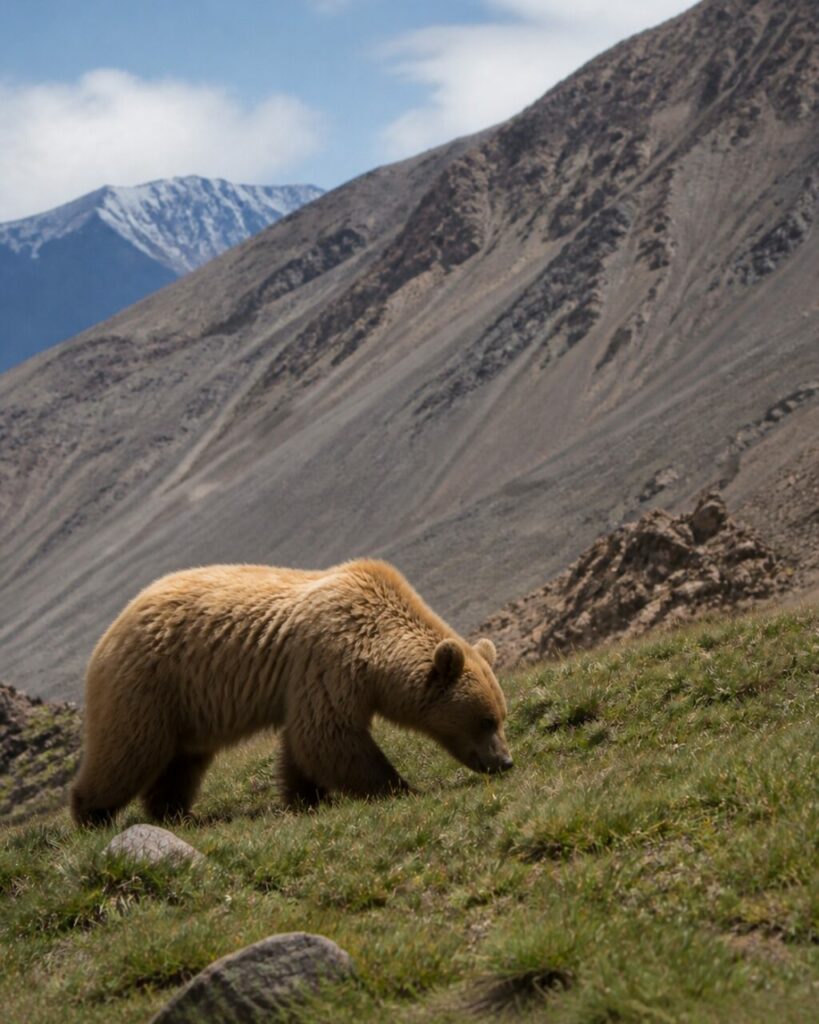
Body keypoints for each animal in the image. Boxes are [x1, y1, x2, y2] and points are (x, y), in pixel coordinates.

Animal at [70, 559, 512, 824]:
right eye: (485, 720)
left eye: (500, 716)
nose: (505, 761)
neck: (376, 651)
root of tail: (110, 630)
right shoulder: (330, 661)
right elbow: (328, 736)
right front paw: (400, 787)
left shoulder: (313, 681)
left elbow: (305, 745)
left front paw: (306, 795)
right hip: (150, 684)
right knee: (128, 749)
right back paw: (91, 813)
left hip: (188, 706)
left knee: (182, 761)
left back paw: (175, 813)